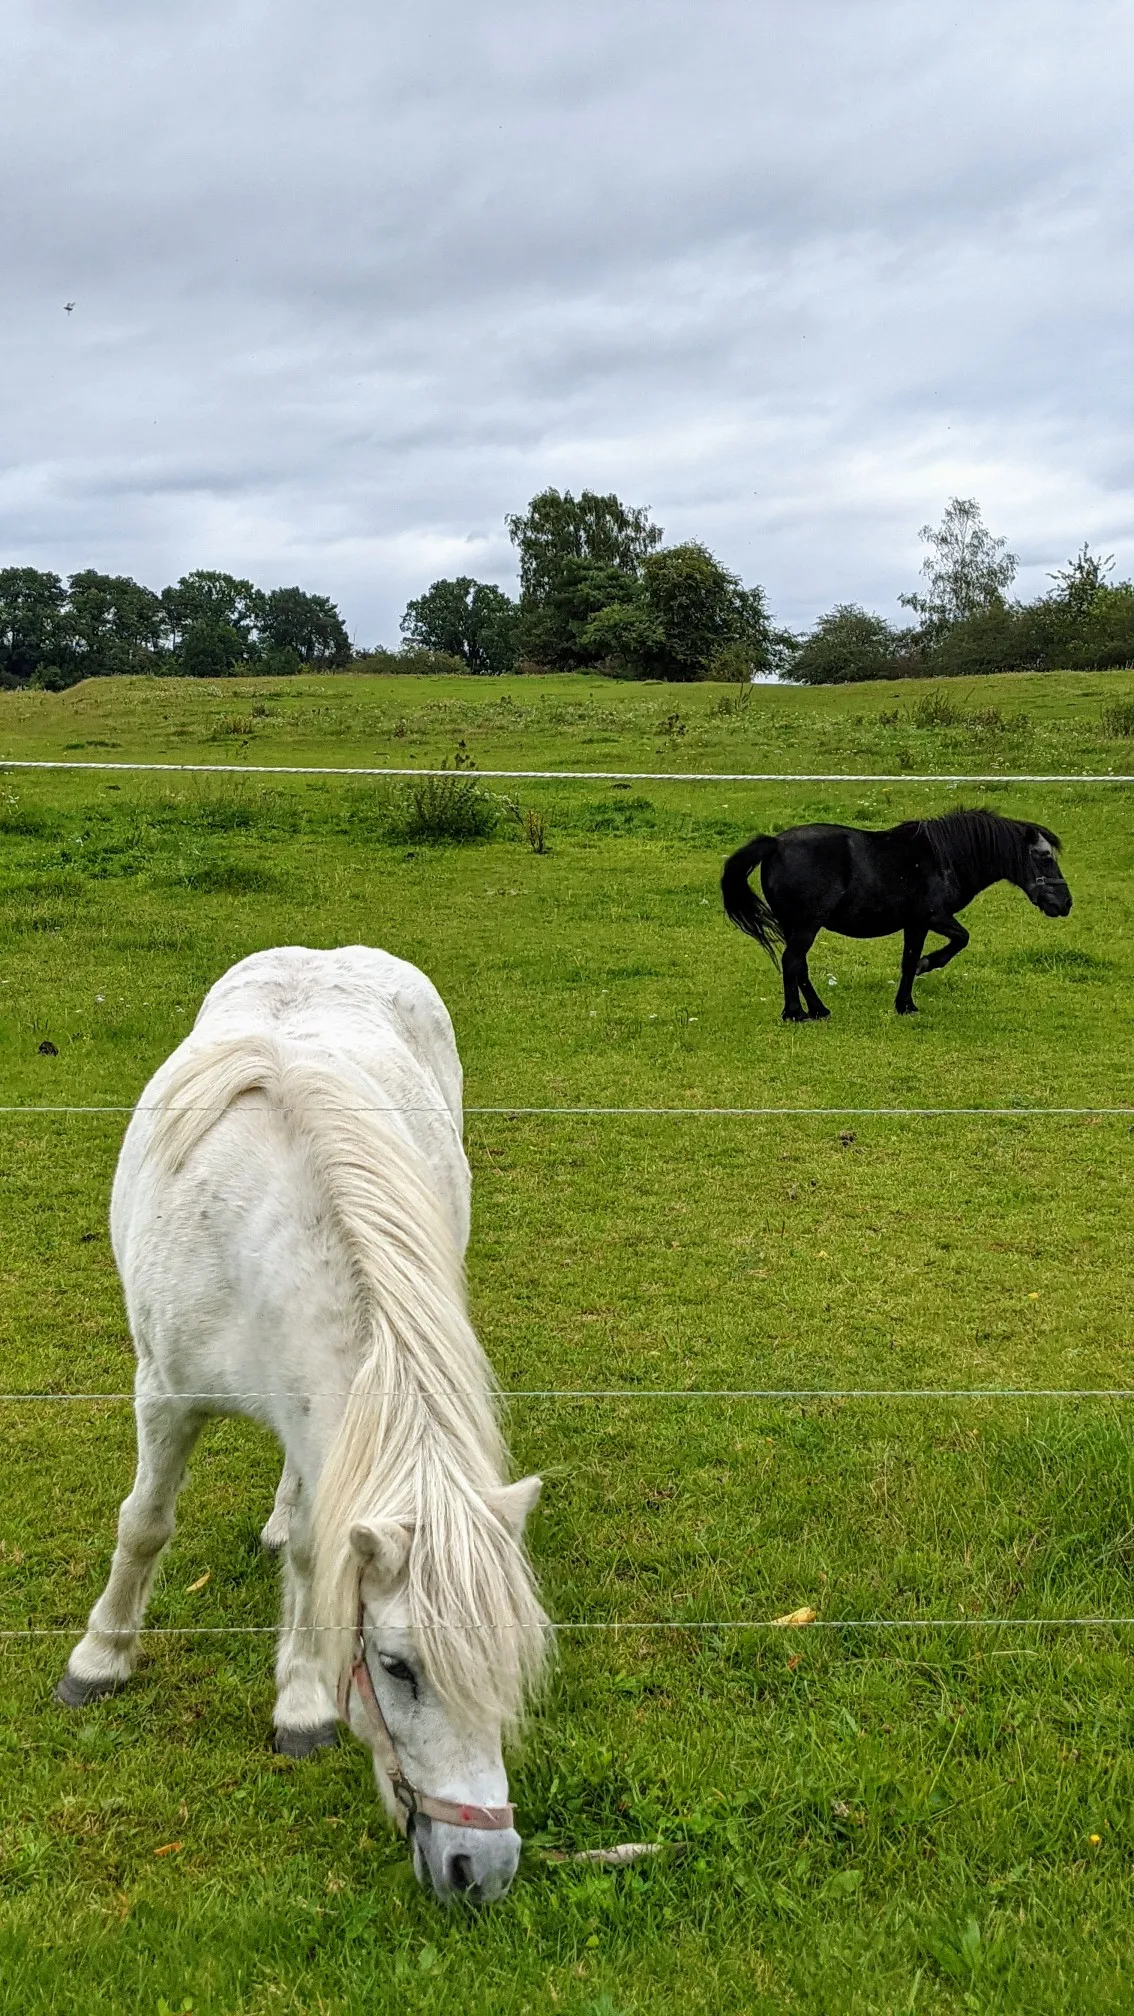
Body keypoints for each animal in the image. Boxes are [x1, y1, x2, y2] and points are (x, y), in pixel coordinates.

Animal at [55, 945, 549, 1905]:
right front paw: (99, 1659)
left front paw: (303, 1702)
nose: (482, 1868)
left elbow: (323, 1559)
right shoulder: (163, 1397)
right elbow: (144, 1526)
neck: (255, 1236)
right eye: (397, 1668)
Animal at [721, 808, 1072, 1020]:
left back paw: (819, 1010)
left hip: (795, 926)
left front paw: (905, 1004)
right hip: (807, 925)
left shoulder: (915, 924)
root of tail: (775, 843)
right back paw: (795, 1013)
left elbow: (907, 962)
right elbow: (960, 939)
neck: (942, 858)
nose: (1065, 903)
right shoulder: (933, 917)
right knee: (792, 961)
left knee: (799, 965)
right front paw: (927, 965)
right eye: (1044, 857)